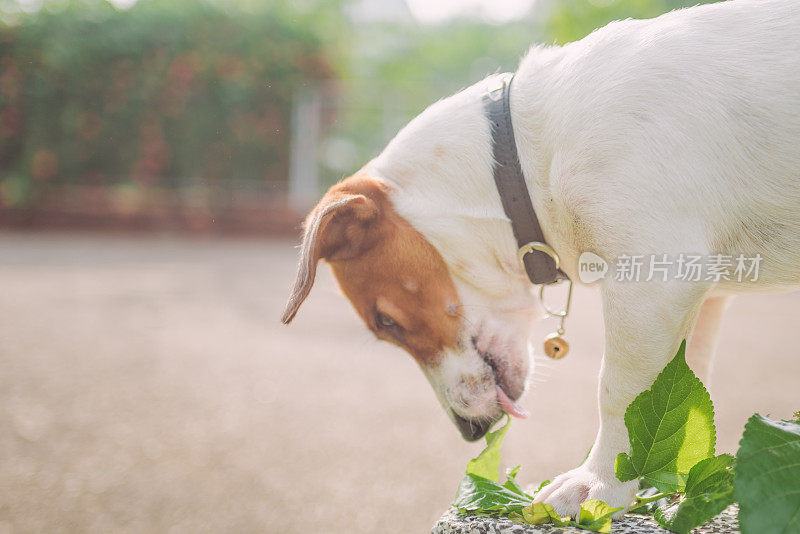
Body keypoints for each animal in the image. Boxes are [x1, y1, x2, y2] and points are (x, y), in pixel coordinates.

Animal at [280, 0, 800, 520]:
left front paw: (601, 484)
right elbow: (682, 386)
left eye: (386, 321)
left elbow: (621, 392)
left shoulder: (655, 280)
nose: (470, 433)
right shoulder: (697, 299)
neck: (528, 158)